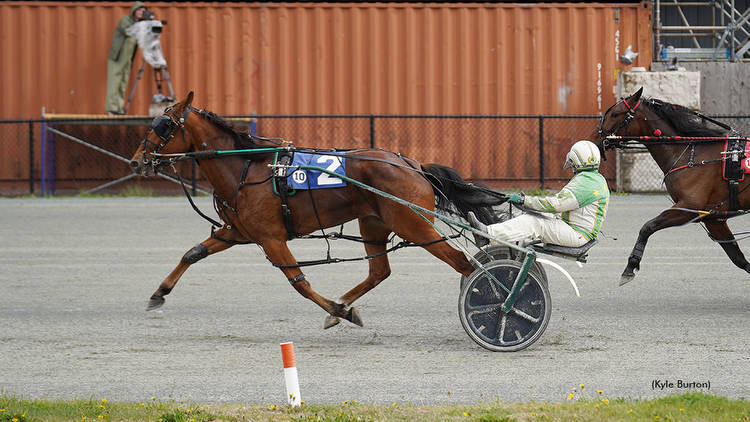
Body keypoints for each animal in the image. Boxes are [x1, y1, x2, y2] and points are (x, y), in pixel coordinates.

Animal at [131, 92, 506, 328]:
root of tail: (412, 164)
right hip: (374, 222)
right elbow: (193, 253)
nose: (137, 160)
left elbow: (299, 282)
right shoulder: (238, 231)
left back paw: (496, 301)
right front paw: (158, 294)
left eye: (163, 126)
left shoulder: (271, 238)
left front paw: (344, 313)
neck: (247, 168)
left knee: (463, 264)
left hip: (414, 225)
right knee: (379, 272)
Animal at [596, 88, 748, 286]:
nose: (597, 137)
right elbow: (738, 258)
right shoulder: (713, 217)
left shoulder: (688, 208)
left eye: (615, 113)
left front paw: (630, 266)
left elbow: (648, 227)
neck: (693, 153)